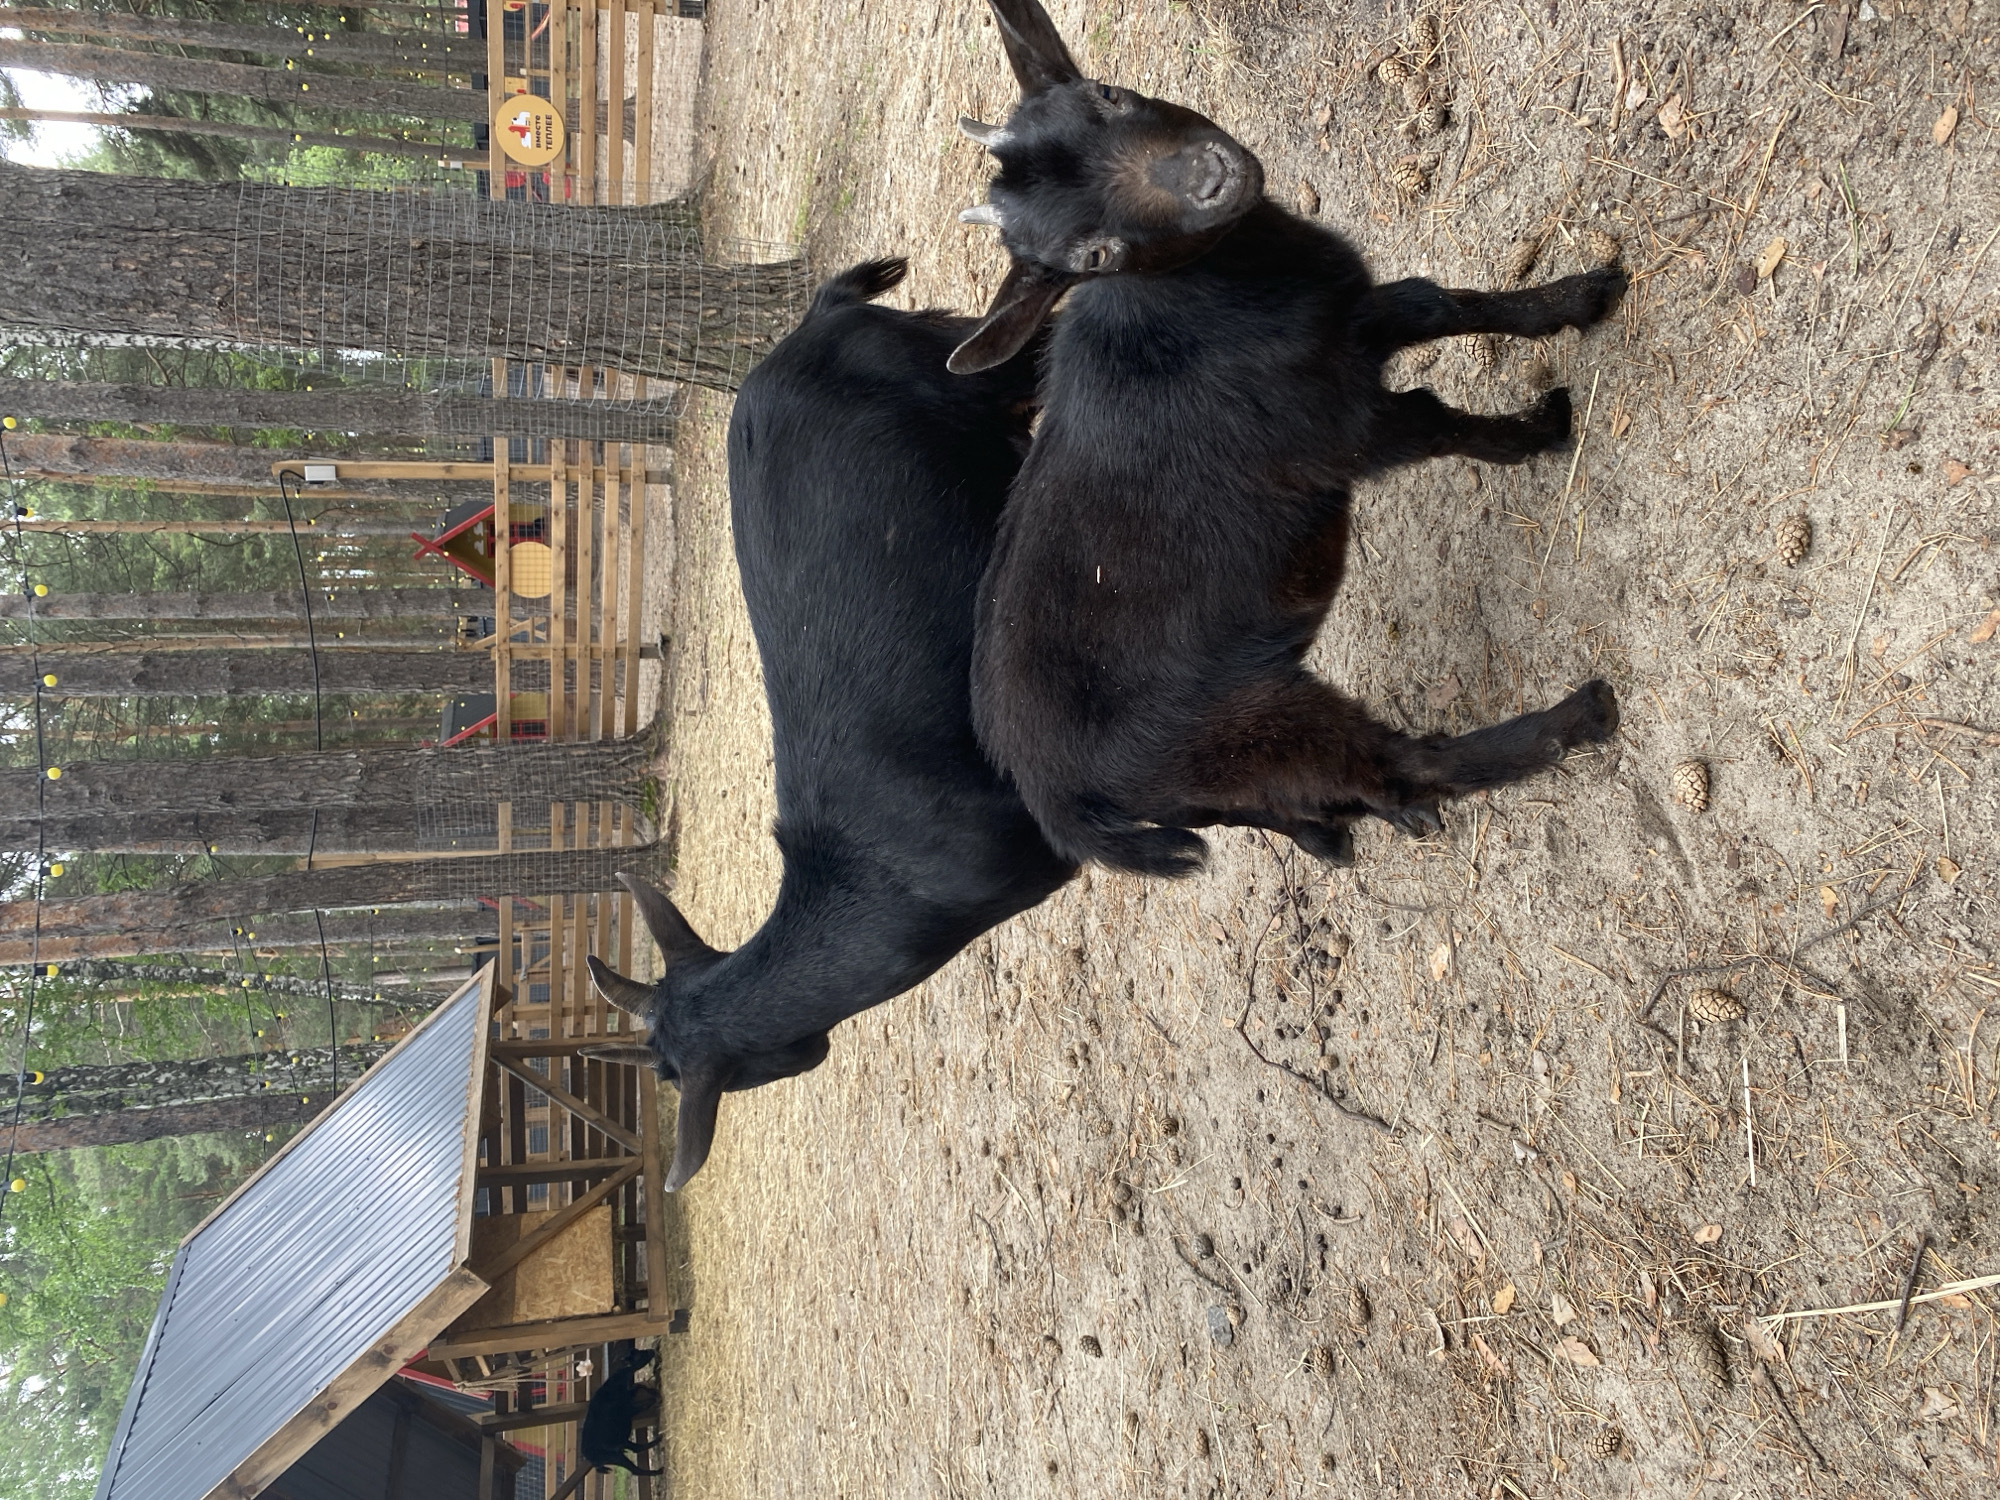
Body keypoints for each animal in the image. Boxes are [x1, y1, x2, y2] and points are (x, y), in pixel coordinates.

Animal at [578, 1345, 661, 1478]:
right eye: (638, 1354)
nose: (651, 1350)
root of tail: (590, 1458)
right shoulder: (626, 1409)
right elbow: (642, 1403)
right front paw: (655, 1399)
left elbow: (639, 1387)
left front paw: (654, 1393)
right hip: (614, 1455)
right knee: (635, 1469)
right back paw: (658, 1471)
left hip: (619, 1445)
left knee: (636, 1448)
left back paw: (658, 1440)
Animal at [950, 0, 1626, 876]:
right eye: (1092, 255)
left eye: (1107, 95)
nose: (1210, 179)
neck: (1206, 305)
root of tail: (1058, 803)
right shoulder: (1344, 430)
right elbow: (1438, 415)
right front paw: (1543, 428)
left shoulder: (1351, 324)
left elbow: (1442, 303)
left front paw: (1581, 297)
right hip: (1249, 728)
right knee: (1400, 765)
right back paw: (1578, 717)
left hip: (1214, 780)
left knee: (1296, 803)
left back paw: (1345, 833)